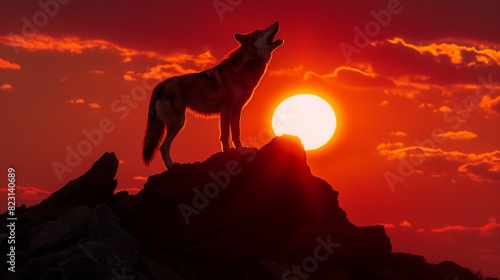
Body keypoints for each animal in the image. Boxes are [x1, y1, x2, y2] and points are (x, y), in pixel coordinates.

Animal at [143, 21, 284, 168]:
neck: (239, 73)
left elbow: (236, 133)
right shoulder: (226, 108)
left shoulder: (237, 110)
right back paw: (172, 166)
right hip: (179, 122)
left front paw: (240, 149)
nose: (276, 22)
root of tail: (160, 86)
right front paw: (227, 151)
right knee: (163, 146)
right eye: (261, 32)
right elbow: (225, 133)